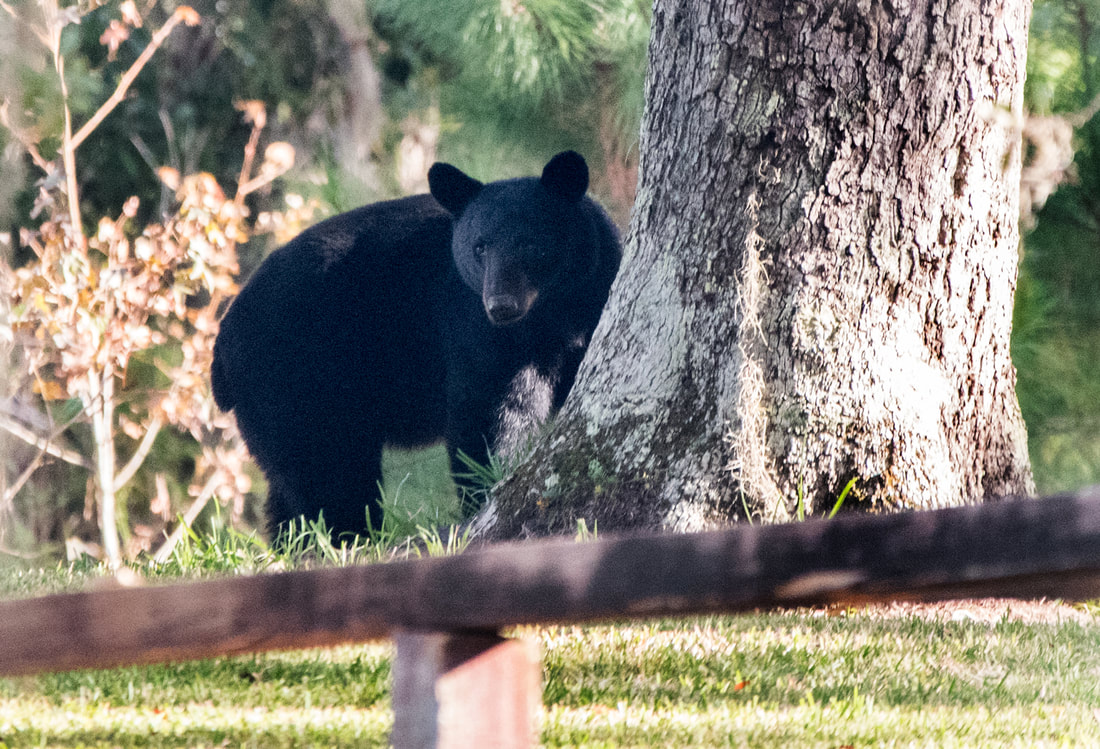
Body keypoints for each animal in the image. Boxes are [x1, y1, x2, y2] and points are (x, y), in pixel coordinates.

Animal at [206, 151, 620, 536]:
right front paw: (488, 486)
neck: (551, 313)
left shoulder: (595, 295)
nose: (501, 305)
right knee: (330, 471)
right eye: (480, 247)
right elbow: (491, 409)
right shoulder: (471, 322)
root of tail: (222, 346)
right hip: (296, 379)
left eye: (532, 245)